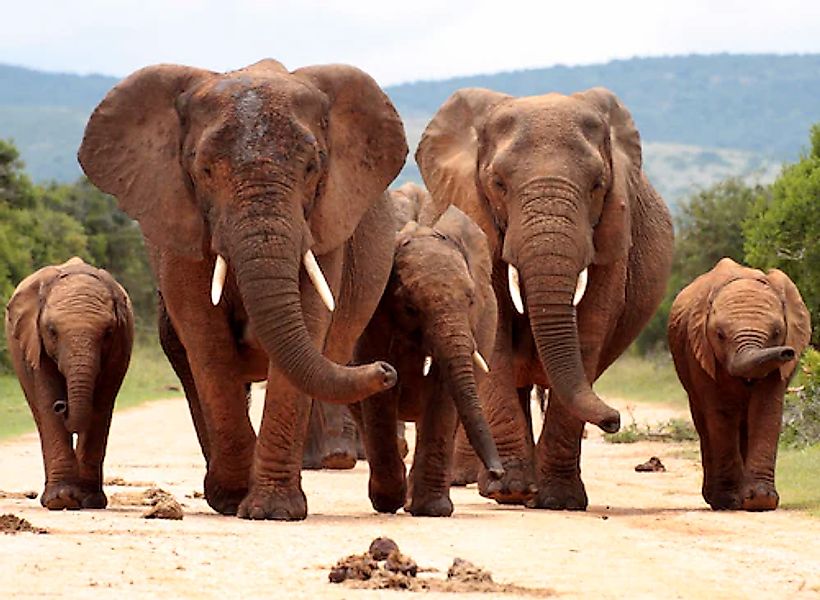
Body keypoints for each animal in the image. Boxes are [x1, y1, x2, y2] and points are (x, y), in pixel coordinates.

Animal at [4, 255, 133, 508]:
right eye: (52, 331)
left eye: (108, 333)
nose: (62, 406)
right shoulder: (35, 341)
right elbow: (46, 400)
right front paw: (61, 500)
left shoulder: (120, 345)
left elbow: (101, 405)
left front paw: (88, 500)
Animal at [80, 62, 406, 520]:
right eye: (204, 170)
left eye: (312, 168)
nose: (386, 371)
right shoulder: (181, 223)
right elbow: (206, 338)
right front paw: (235, 499)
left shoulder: (324, 224)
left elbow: (309, 323)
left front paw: (273, 511)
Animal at [358, 197, 506, 516]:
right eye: (410, 308)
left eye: (471, 300)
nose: (497, 473)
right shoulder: (373, 320)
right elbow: (379, 396)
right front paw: (390, 502)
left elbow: (442, 395)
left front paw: (431, 510)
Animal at [416, 86, 672, 508]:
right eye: (498, 183)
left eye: (597, 184)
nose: (615, 420)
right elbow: (496, 330)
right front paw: (511, 491)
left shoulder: (613, 233)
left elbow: (590, 328)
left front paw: (560, 501)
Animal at [668, 258, 812, 510]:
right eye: (719, 334)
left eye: (777, 332)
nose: (787, 352)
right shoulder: (700, 352)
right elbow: (721, 413)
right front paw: (730, 501)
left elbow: (766, 409)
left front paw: (760, 500)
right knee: (705, 422)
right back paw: (716, 499)